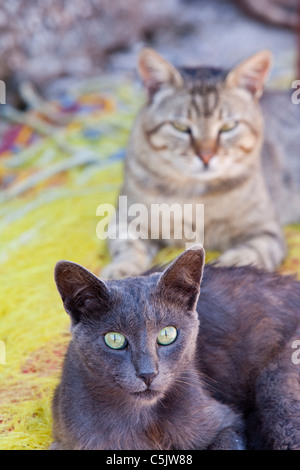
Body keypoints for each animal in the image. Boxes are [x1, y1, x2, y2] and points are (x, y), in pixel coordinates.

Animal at [101, 47, 300, 280]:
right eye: (180, 127)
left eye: (228, 127)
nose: (206, 156)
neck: (192, 192)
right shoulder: (124, 219)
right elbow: (129, 248)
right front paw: (121, 271)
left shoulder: (265, 232)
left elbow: (246, 256)